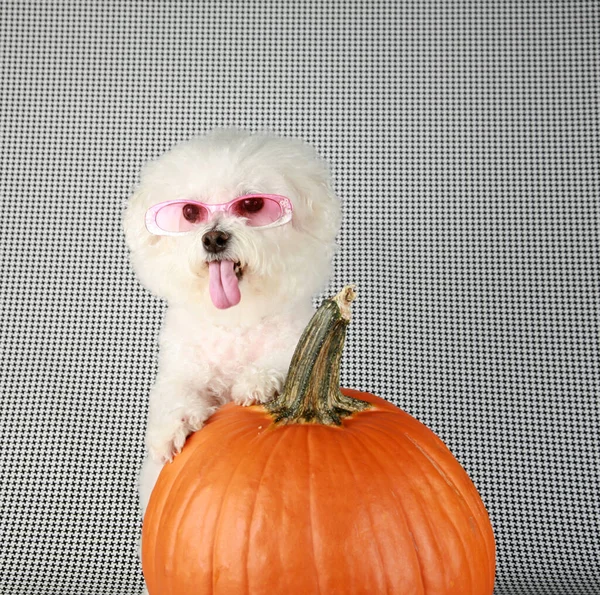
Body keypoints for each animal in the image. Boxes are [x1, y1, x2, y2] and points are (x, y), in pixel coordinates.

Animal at [120, 129, 342, 512]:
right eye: (190, 212)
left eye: (252, 205)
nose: (213, 237)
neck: (235, 323)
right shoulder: (181, 366)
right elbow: (174, 393)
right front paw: (173, 426)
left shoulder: (296, 340)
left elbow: (288, 361)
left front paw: (257, 381)